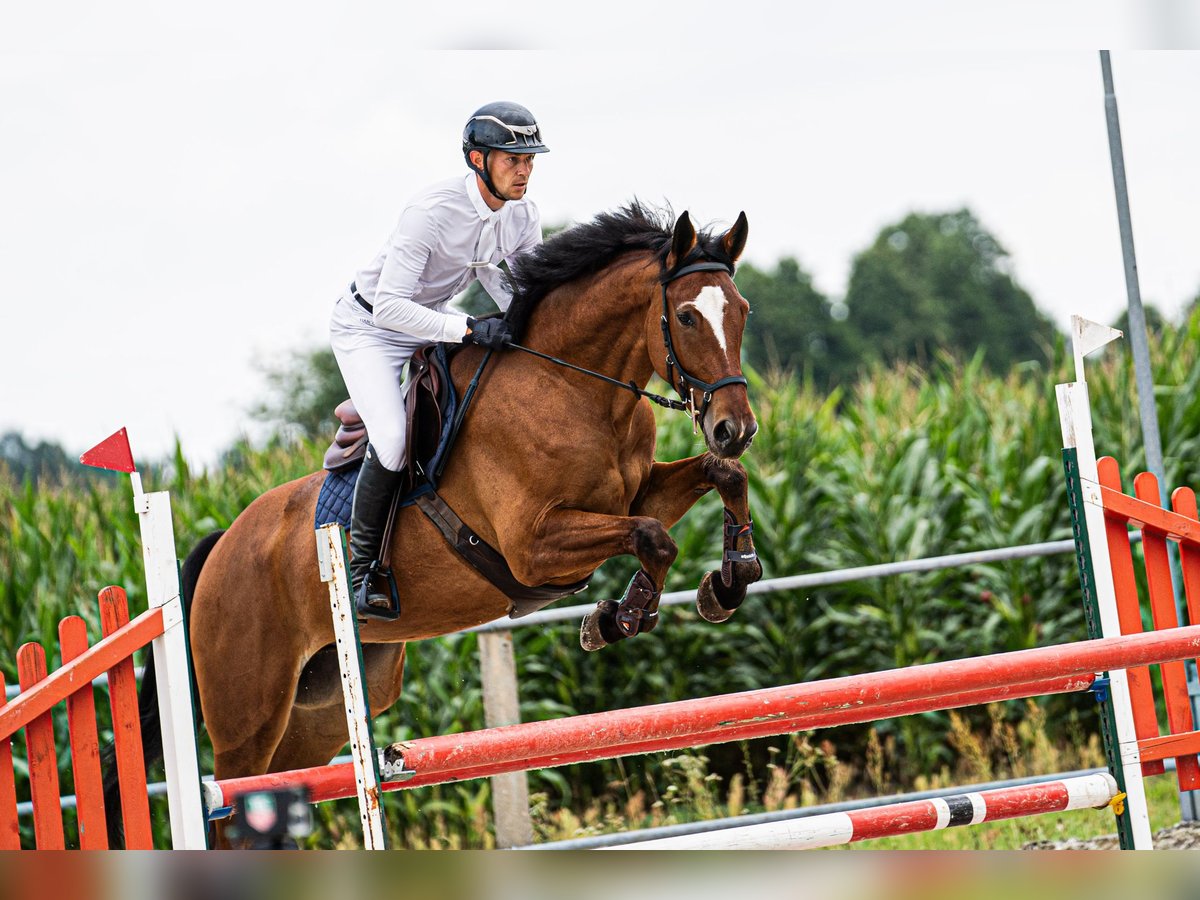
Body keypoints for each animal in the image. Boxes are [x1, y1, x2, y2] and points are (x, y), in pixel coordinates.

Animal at [117, 202, 763, 844]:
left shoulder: (639, 493)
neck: (573, 388)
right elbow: (654, 537)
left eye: (743, 312)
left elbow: (720, 479)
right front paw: (620, 617)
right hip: (247, 719)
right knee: (230, 803)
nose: (736, 429)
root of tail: (223, 543)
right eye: (686, 316)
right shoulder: (534, 546)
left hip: (318, 713)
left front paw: (730, 579)